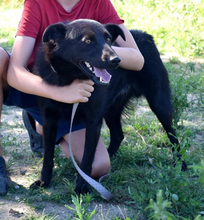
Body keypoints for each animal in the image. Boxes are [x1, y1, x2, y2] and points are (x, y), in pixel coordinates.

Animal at [30, 18, 186, 194]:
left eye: (109, 39)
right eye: (88, 41)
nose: (116, 60)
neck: (69, 78)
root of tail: (145, 34)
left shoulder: (93, 121)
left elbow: (87, 158)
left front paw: (82, 186)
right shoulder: (49, 120)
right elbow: (48, 155)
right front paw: (44, 180)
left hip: (158, 103)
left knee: (173, 136)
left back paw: (180, 164)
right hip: (111, 111)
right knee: (118, 135)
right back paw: (110, 158)